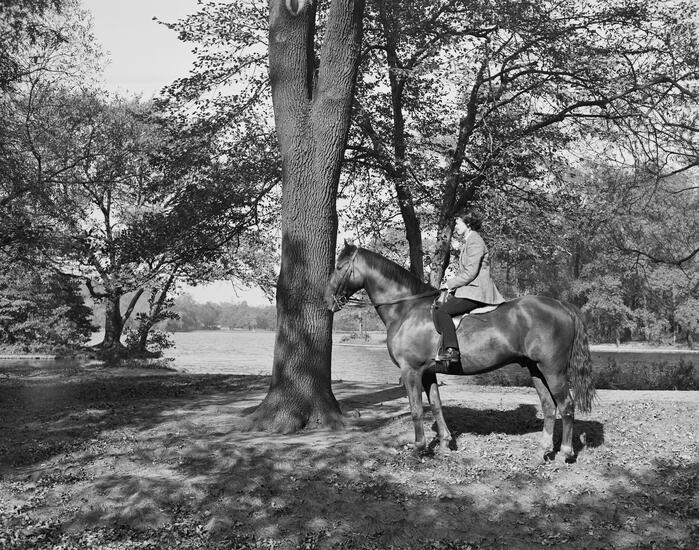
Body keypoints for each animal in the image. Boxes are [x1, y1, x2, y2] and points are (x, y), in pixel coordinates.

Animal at [324, 243, 595, 461]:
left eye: (339, 266)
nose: (327, 302)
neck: (407, 308)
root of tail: (561, 305)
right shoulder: (427, 372)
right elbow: (436, 405)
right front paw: (445, 443)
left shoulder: (411, 370)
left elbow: (416, 409)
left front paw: (419, 448)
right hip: (535, 368)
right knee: (549, 406)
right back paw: (543, 452)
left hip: (553, 370)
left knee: (567, 406)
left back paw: (565, 453)